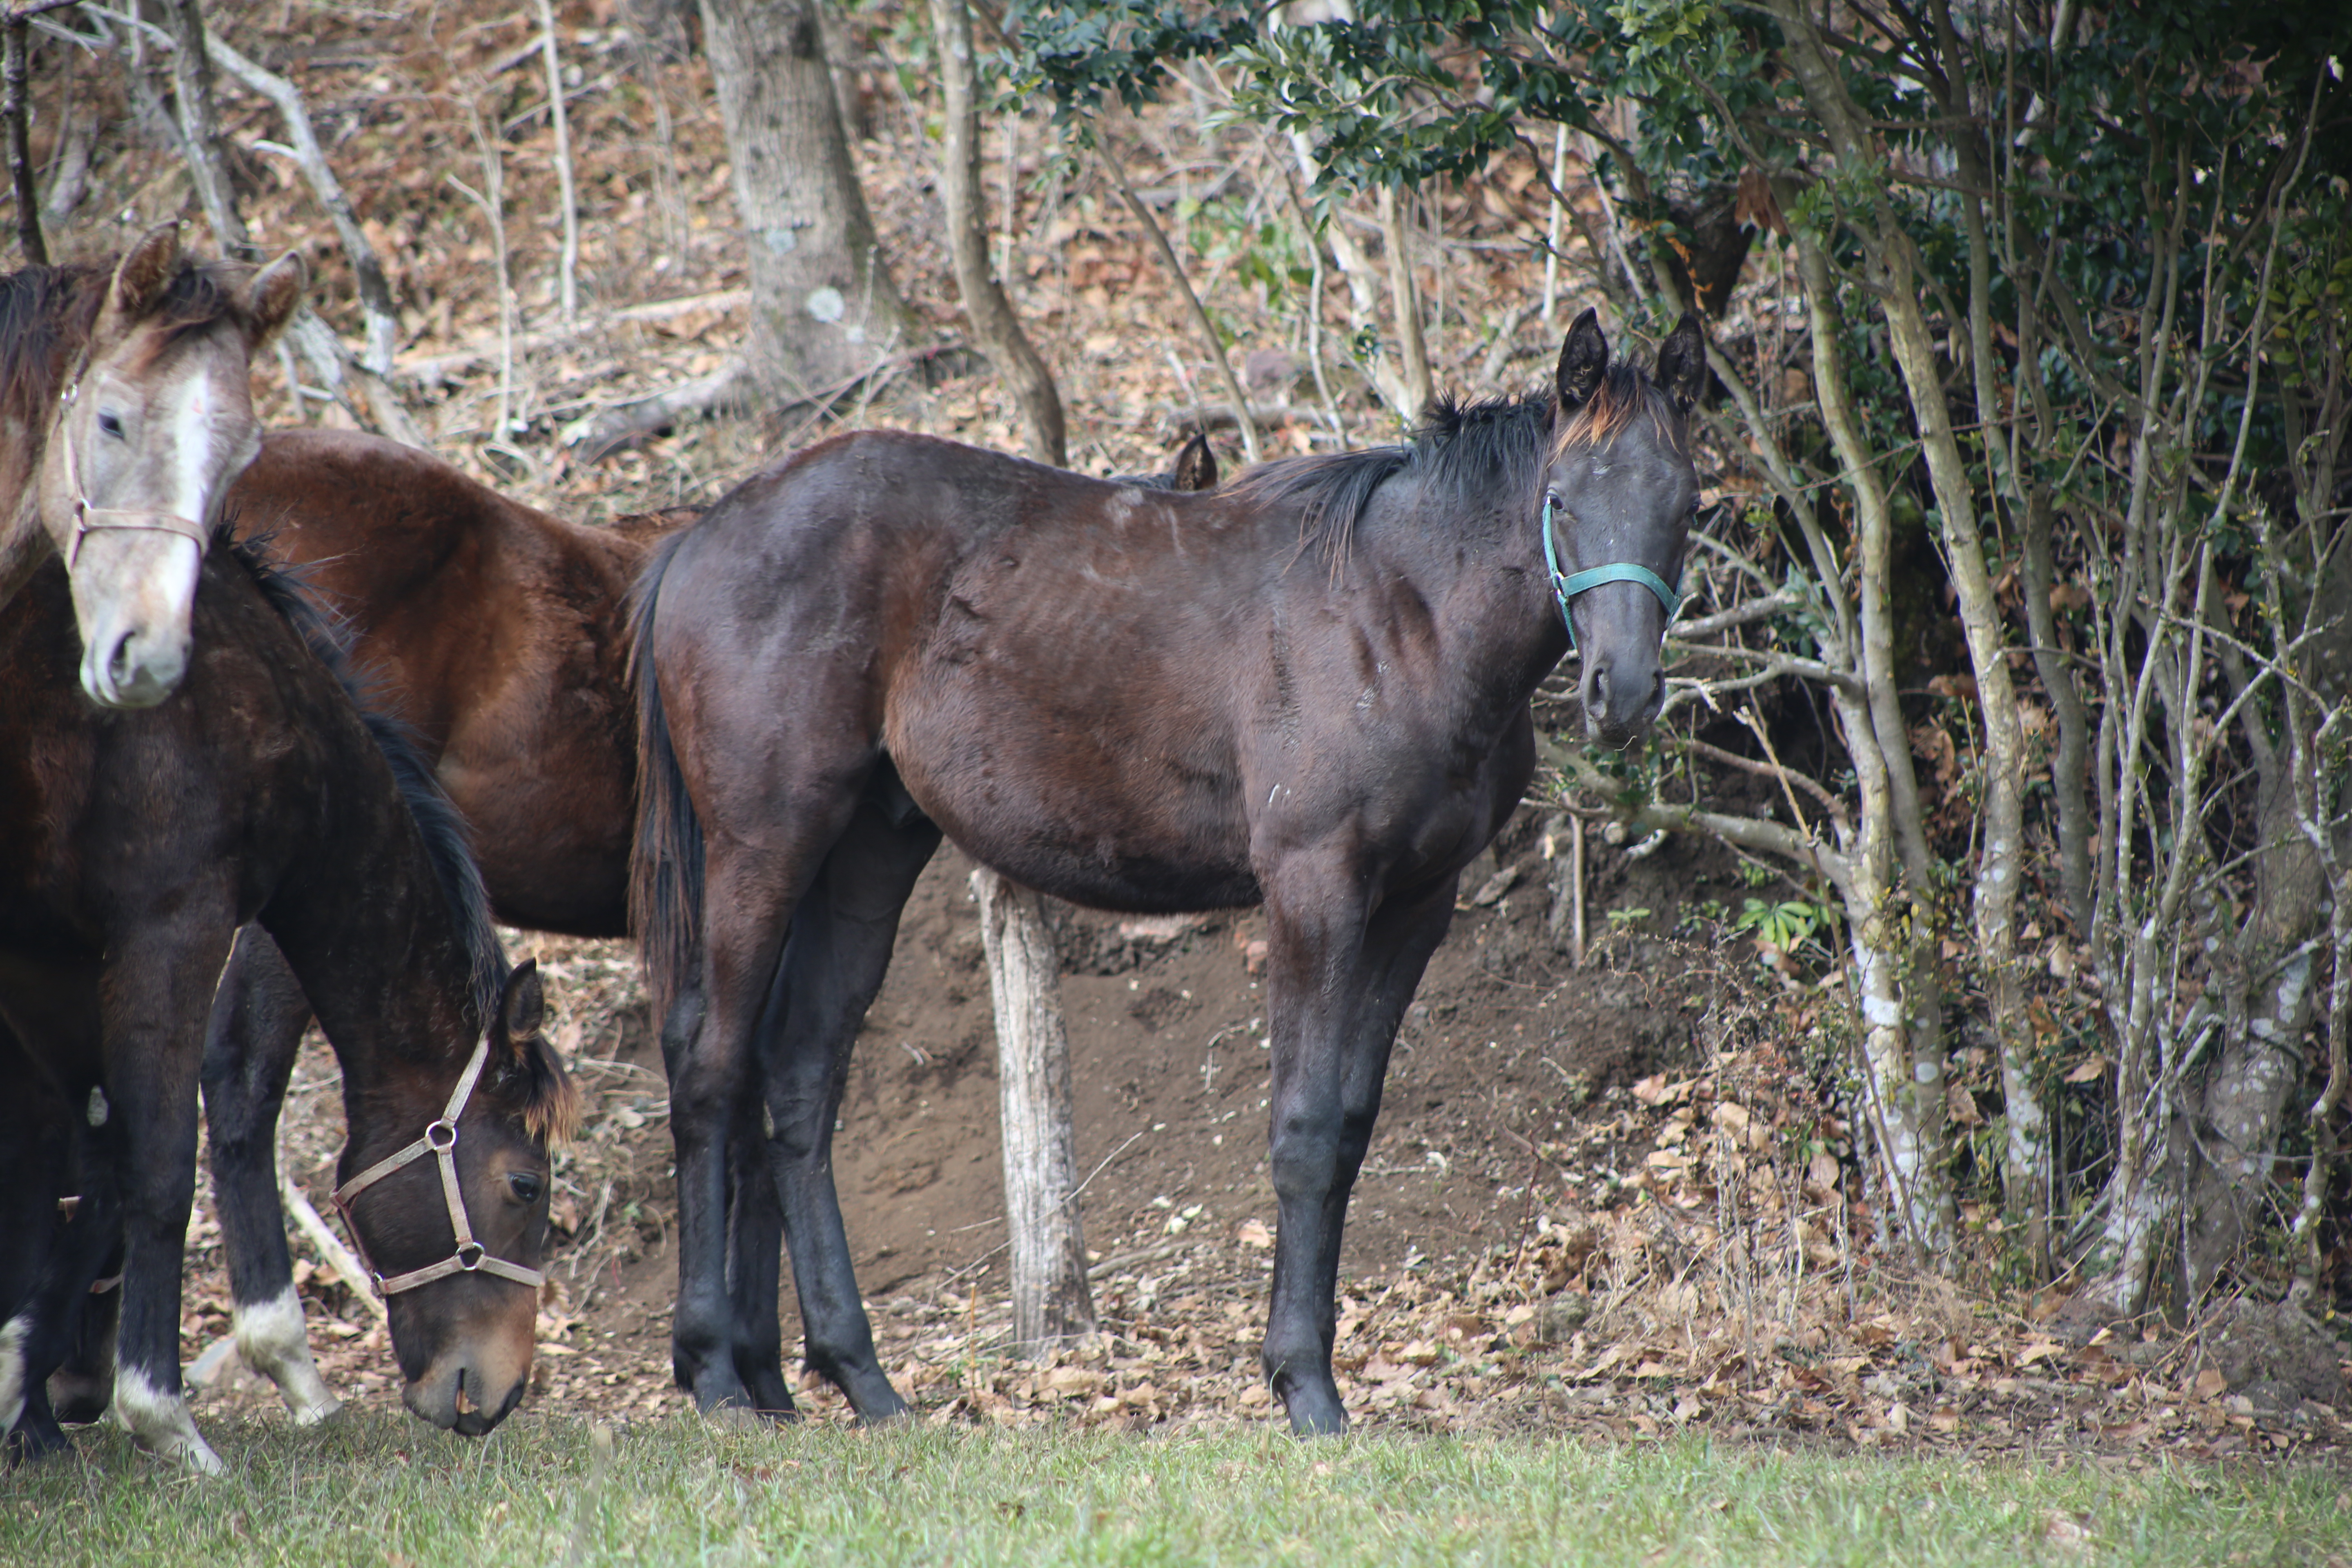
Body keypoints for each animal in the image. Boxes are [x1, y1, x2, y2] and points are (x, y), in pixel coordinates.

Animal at [2, 543, 581, 1476]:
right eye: (526, 1186)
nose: (503, 1393)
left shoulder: (46, 966)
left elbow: (71, 1165)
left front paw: (23, 1387)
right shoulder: (171, 931)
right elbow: (153, 1168)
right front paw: (162, 1418)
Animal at [630, 310, 1712, 1439]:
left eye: (1688, 506)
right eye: (1562, 498)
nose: (1625, 692)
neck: (1398, 613)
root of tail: (701, 533)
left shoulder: (1417, 903)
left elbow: (1350, 1129)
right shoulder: (1313, 890)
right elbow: (1303, 1129)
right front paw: (1303, 1384)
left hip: (865, 852)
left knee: (797, 1076)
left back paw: (850, 1376)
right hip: (763, 847)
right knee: (710, 1068)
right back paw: (714, 1372)